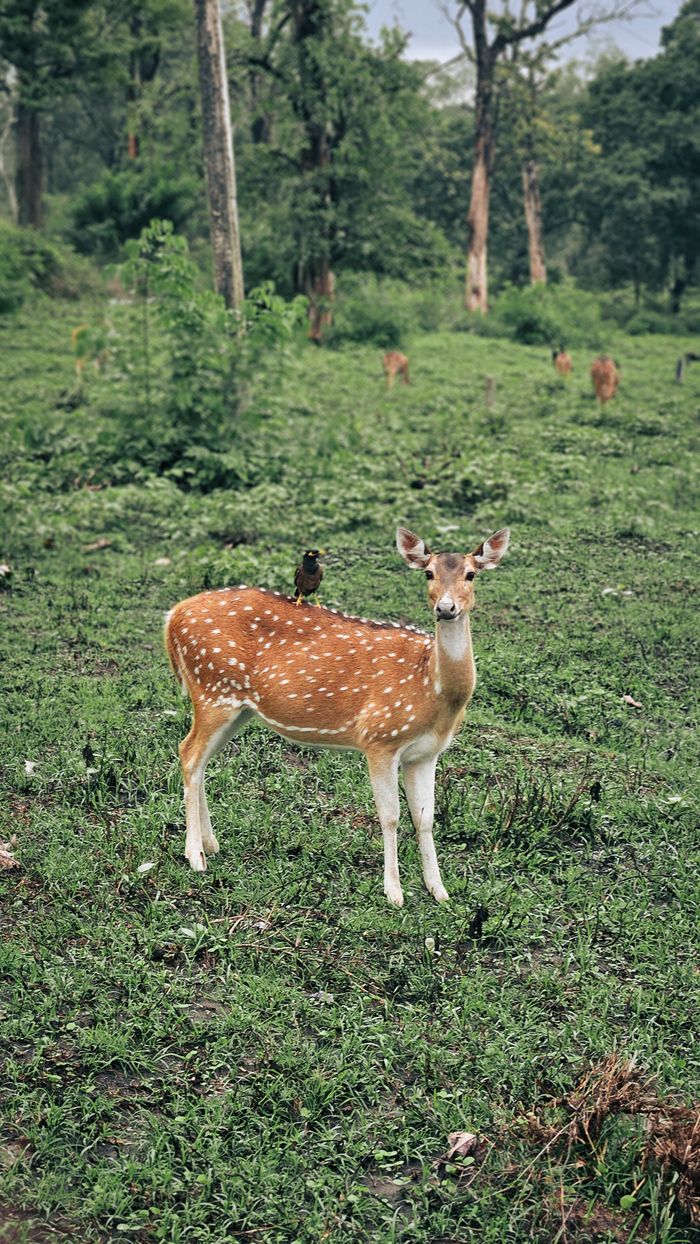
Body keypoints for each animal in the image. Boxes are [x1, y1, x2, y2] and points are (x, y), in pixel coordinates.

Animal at [164, 526, 510, 907]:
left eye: (471, 574)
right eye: (428, 573)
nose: (446, 608)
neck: (430, 691)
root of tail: (172, 616)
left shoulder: (426, 753)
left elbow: (425, 819)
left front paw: (439, 890)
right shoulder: (380, 738)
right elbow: (391, 816)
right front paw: (394, 892)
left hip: (234, 705)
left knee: (197, 759)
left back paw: (211, 843)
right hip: (212, 690)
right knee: (189, 754)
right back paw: (195, 855)